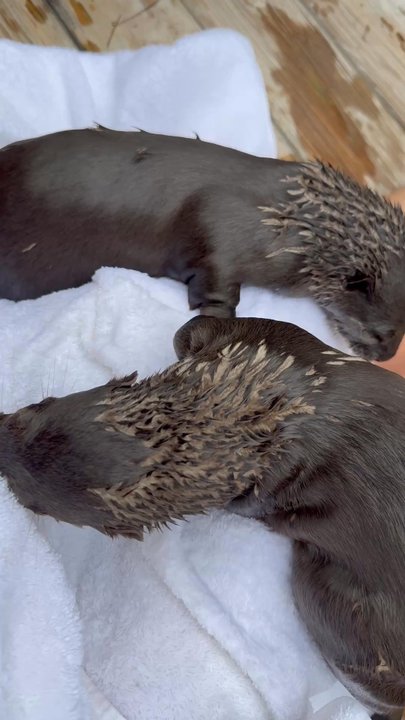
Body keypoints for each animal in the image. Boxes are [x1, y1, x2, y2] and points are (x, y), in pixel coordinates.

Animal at [0, 316, 404, 714]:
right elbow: (188, 327)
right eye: (33, 409)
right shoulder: (273, 337)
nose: (3, 432)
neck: (273, 398)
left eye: (30, 500)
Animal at [1, 126, 405, 360]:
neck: (288, 223)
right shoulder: (220, 229)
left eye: (401, 331)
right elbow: (216, 285)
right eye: (382, 333)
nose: (386, 355)